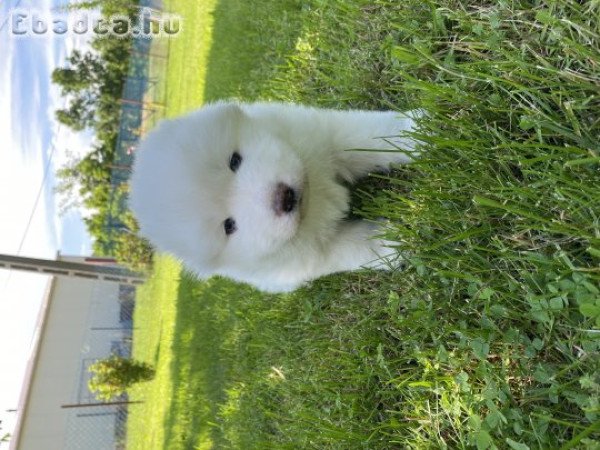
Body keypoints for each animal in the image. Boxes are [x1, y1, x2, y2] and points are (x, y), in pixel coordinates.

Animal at [129, 101, 420, 292]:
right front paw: (392, 243)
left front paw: (416, 133)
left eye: (235, 161)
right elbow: (355, 247)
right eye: (229, 226)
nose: (283, 198)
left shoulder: (326, 135)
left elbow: (373, 136)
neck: (313, 195)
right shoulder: (314, 254)